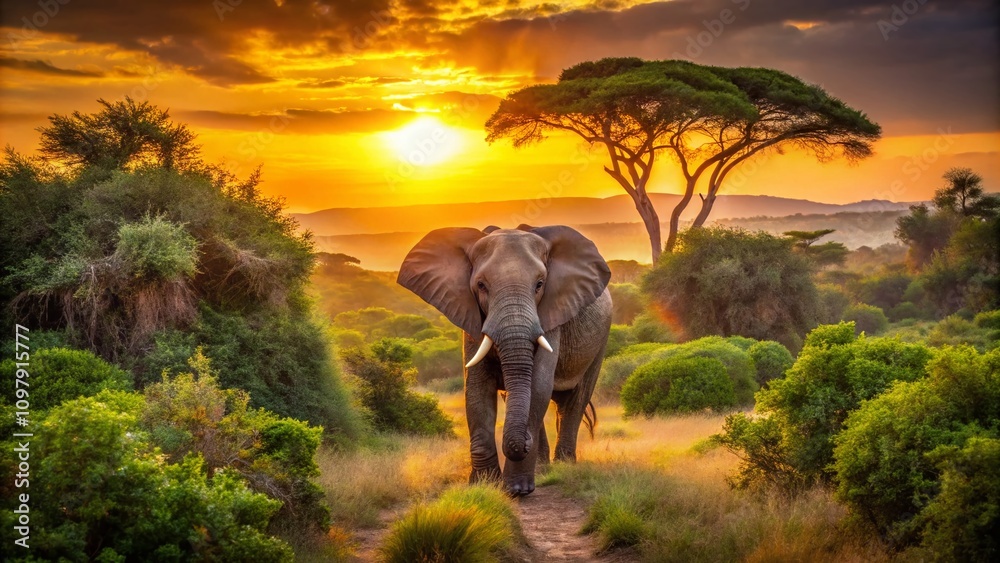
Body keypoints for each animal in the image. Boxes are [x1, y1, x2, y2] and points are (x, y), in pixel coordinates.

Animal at [397, 224, 612, 495]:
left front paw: (518, 489)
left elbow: (538, 385)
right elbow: (477, 389)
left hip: (601, 340)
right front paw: (484, 485)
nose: (523, 443)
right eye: (481, 285)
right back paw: (543, 467)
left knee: (574, 401)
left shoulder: (551, 314)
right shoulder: (472, 316)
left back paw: (564, 466)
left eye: (539, 284)